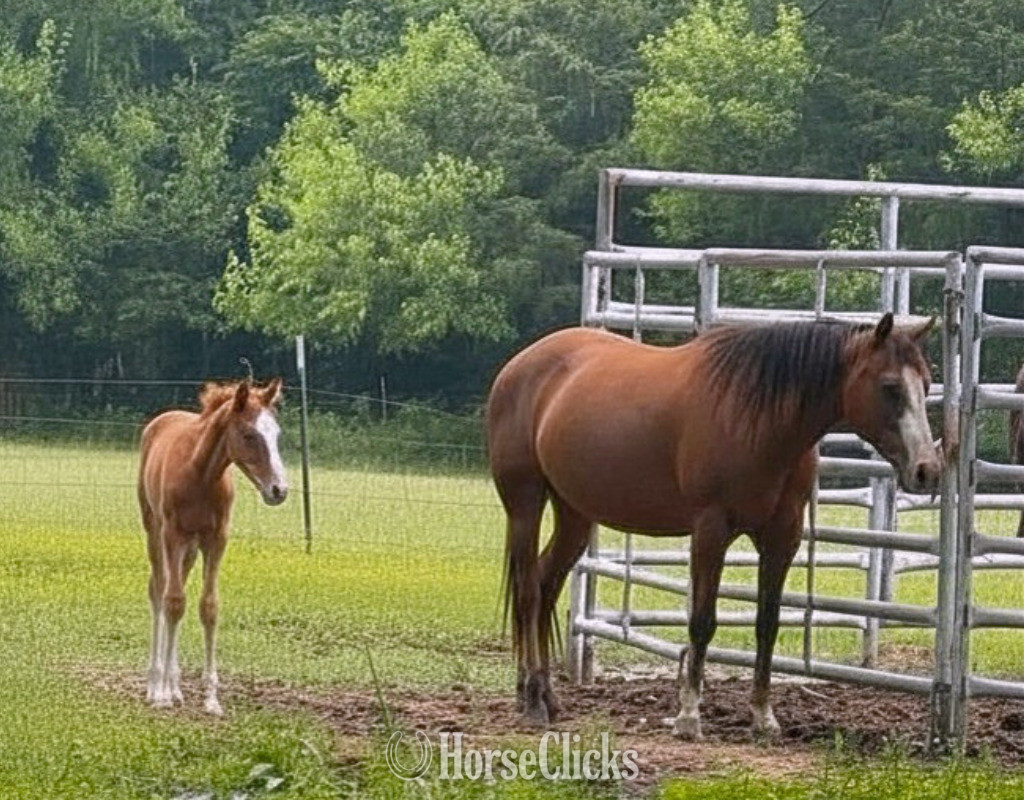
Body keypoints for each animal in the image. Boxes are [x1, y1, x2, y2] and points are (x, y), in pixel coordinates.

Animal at [138, 378, 288, 715]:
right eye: (249, 434)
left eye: (277, 434)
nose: (279, 490)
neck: (200, 474)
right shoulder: (172, 534)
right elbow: (173, 602)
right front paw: (162, 694)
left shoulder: (217, 539)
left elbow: (208, 607)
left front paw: (210, 698)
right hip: (155, 530)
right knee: (159, 591)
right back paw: (156, 684)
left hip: (191, 548)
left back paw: (176, 687)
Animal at [487, 313, 941, 739]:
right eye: (890, 387)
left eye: (926, 385)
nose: (927, 471)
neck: (761, 419)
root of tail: (519, 366)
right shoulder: (710, 530)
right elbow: (702, 622)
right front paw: (689, 716)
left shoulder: (782, 537)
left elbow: (767, 623)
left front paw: (763, 716)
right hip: (525, 504)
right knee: (529, 592)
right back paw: (533, 700)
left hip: (575, 514)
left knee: (545, 584)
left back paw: (544, 693)